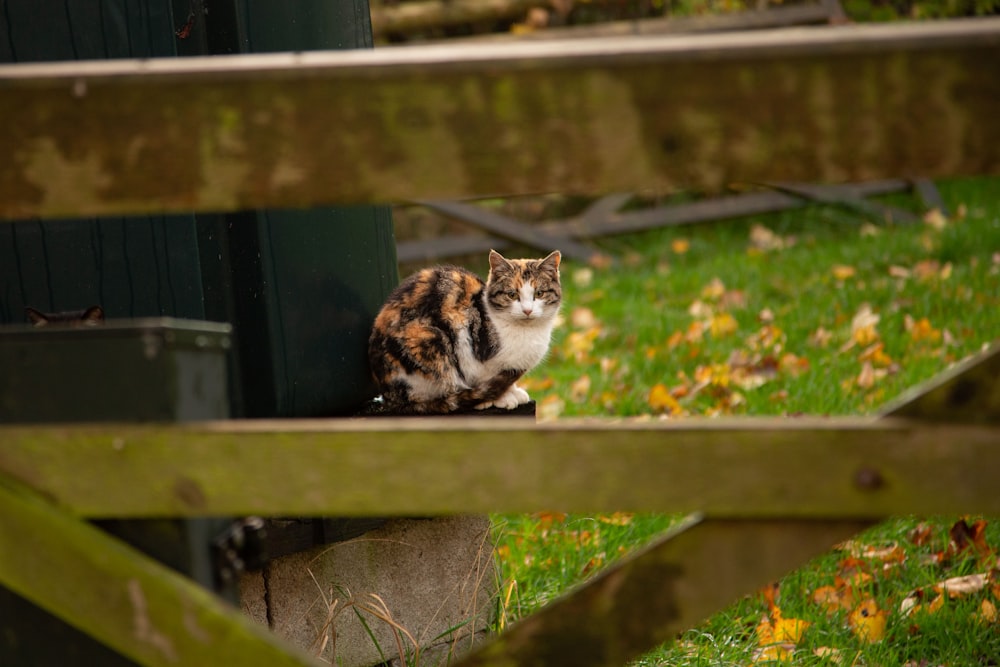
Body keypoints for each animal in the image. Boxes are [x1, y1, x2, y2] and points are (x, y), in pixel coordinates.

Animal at [370, 250, 564, 414]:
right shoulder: (471, 346)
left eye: (539, 293)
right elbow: (485, 375)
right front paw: (500, 398)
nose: (527, 310)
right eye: (511, 295)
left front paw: (513, 391)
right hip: (428, 340)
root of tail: (389, 395)